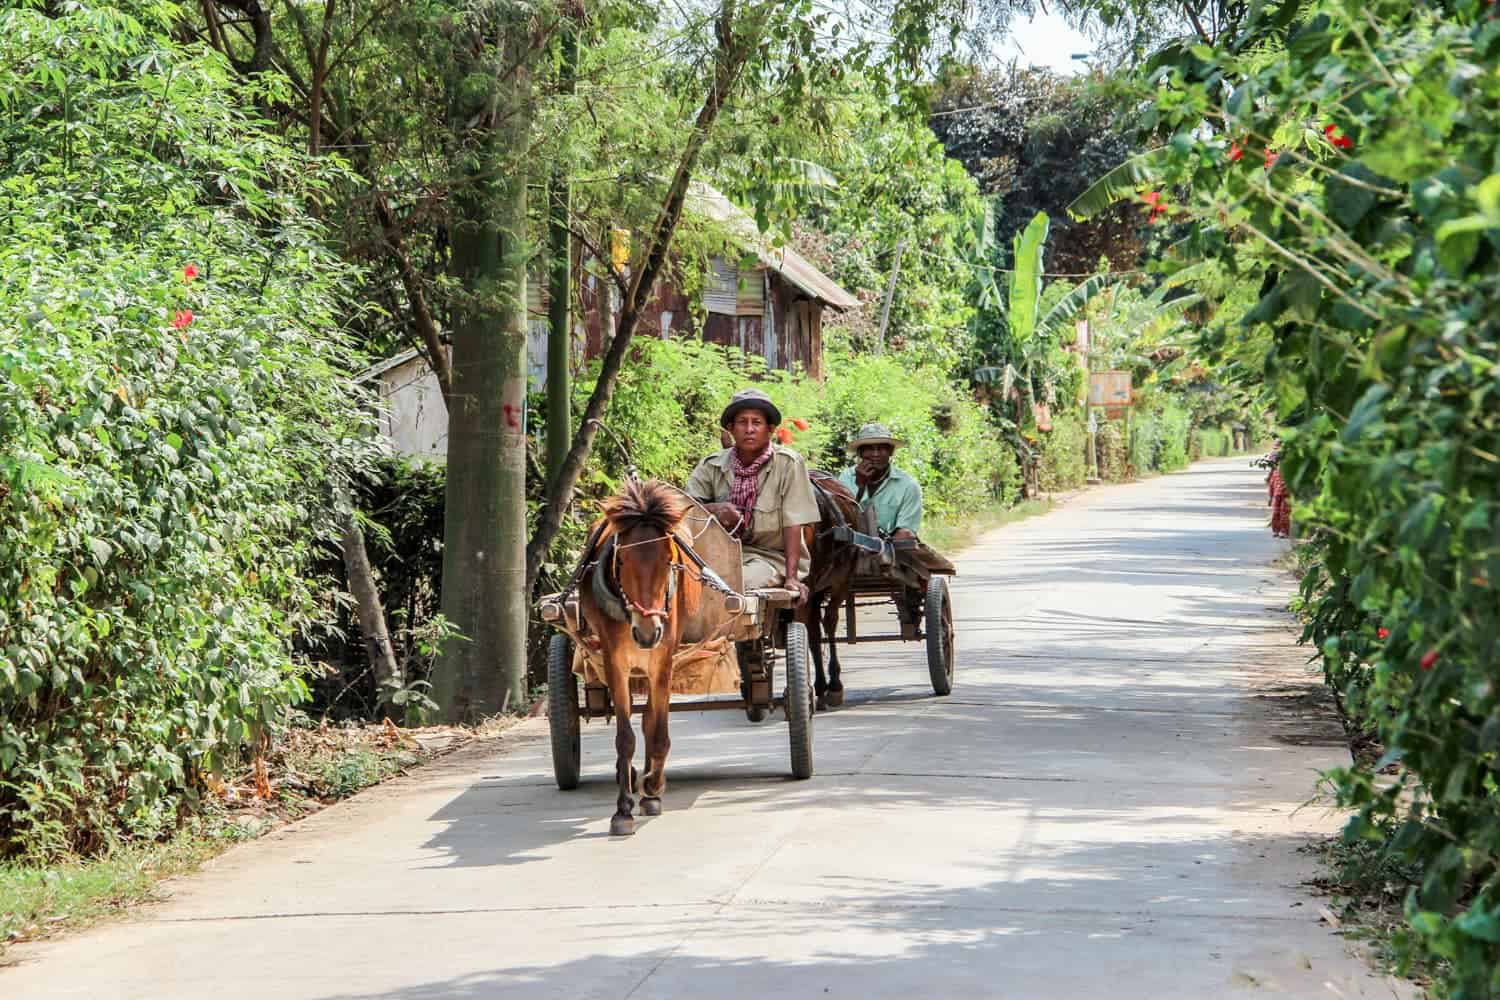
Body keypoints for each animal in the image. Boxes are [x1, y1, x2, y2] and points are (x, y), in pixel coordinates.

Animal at [579, 476, 708, 839]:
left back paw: (650, 787)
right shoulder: (615, 661)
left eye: (669, 560)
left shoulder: (664, 659)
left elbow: (658, 730)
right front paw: (622, 809)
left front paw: (652, 786)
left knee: (651, 720)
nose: (648, 632)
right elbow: (625, 738)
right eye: (621, 561)